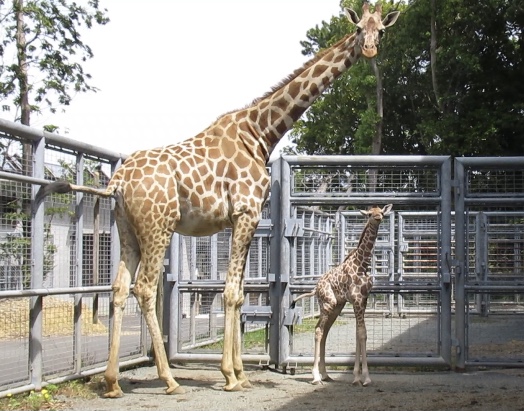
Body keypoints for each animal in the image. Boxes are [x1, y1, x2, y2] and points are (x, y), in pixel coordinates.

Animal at [290, 204, 392, 388]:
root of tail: (316, 289)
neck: (362, 264)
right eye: (369, 214)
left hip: (337, 307)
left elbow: (359, 334)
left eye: (381, 211)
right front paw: (364, 378)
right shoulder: (357, 300)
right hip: (327, 303)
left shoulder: (363, 301)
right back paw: (316, 377)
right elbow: (362, 334)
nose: (378, 217)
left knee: (324, 332)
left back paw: (325, 375)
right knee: (318, 330)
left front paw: (358, 377)